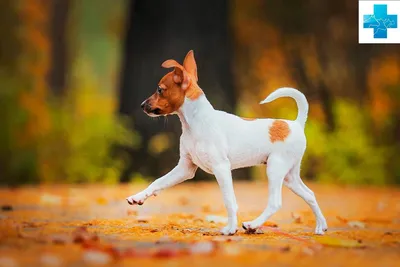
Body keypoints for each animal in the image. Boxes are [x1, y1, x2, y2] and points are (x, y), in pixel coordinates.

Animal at [126, 50, 328, 237]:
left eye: (160, 89)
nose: (142, 105)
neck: (196, 122)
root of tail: (296, 124)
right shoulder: (185, 168)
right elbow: (158, 182)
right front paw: (138, 197)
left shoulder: (221, 168)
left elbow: (229, 200)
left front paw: (231, 229)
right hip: (289, 176)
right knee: (310, 195)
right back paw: (321, 226)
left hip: (275, 169)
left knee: (275, 203)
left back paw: (253, 225)